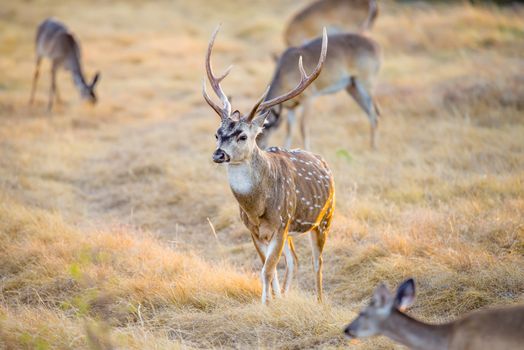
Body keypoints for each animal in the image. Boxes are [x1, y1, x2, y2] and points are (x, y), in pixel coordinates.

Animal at [203, 26, 334, 304]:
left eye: (243, 136)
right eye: (217, 133)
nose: (218, 155)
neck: (257, 207)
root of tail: (322, 160)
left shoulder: (281, 222)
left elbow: (267, 269)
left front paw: (266, 305)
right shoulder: (254, 229)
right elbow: (267, 268)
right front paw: (274, 301)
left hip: (325, 217)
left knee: (318, 262)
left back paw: (319, 301)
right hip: (294, 229)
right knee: (295, 260)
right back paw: (286, 294)